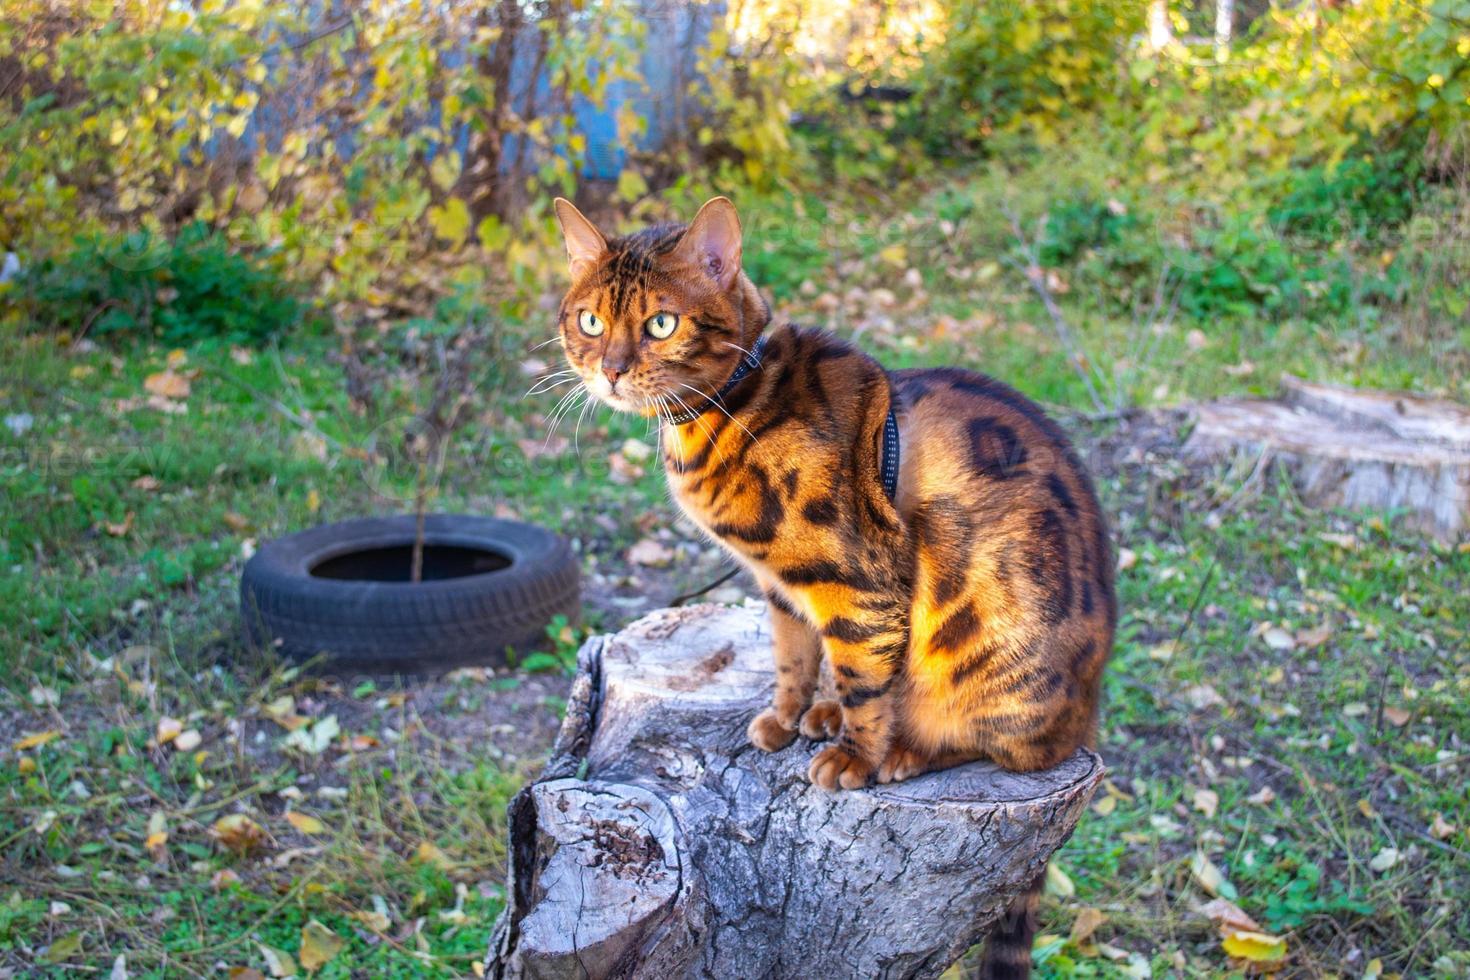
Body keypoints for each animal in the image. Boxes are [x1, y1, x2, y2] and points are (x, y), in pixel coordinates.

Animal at [552, 196, 1111, 975]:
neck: (732, 404)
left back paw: (907, 751)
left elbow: (864, 682)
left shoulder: (858, 584)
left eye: (661, 323)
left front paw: (857, 756)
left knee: (1015, 748)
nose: (609, 370)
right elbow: (795, 659)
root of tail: (1090, 707)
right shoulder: (781, 588)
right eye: (590, 321)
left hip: (994, 652)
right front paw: (789, 717)